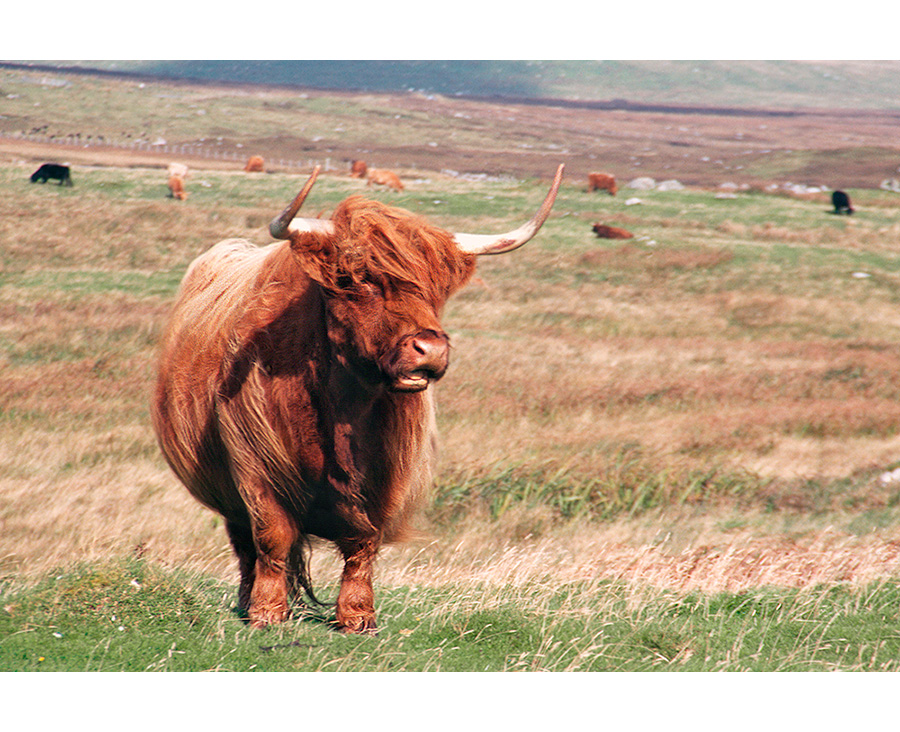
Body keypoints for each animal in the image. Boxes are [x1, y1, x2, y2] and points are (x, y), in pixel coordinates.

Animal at [153, 163, 564, 632]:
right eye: (355, 280)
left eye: (436, 288)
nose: (430, 349)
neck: (342, 407)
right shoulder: (254, 463)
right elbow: (272, 538)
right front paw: (267, 612)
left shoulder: (385, 476)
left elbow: (364, 542)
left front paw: (357, 616)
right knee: (243, 543)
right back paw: (246, 600)